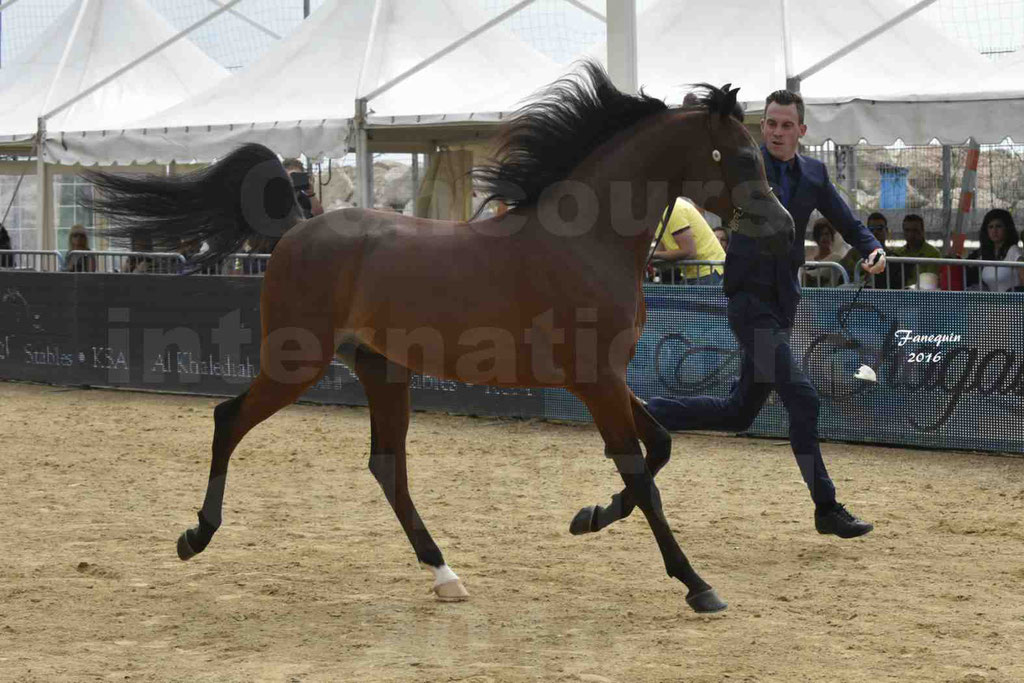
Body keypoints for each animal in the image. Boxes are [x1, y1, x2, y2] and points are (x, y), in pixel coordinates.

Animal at [86, 62, 790, 614]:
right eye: (741, 156)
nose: (783, 228)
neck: (584, 243)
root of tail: (295, 230)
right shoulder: (596, 381)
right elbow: (642, 474)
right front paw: (697, 584)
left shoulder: (609, 378)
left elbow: (661, 447)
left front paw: (587, 518)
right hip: (296, 362)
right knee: (229, 419)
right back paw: (195, 536)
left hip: (382, 369)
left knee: (386, 465)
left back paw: (445, 574)